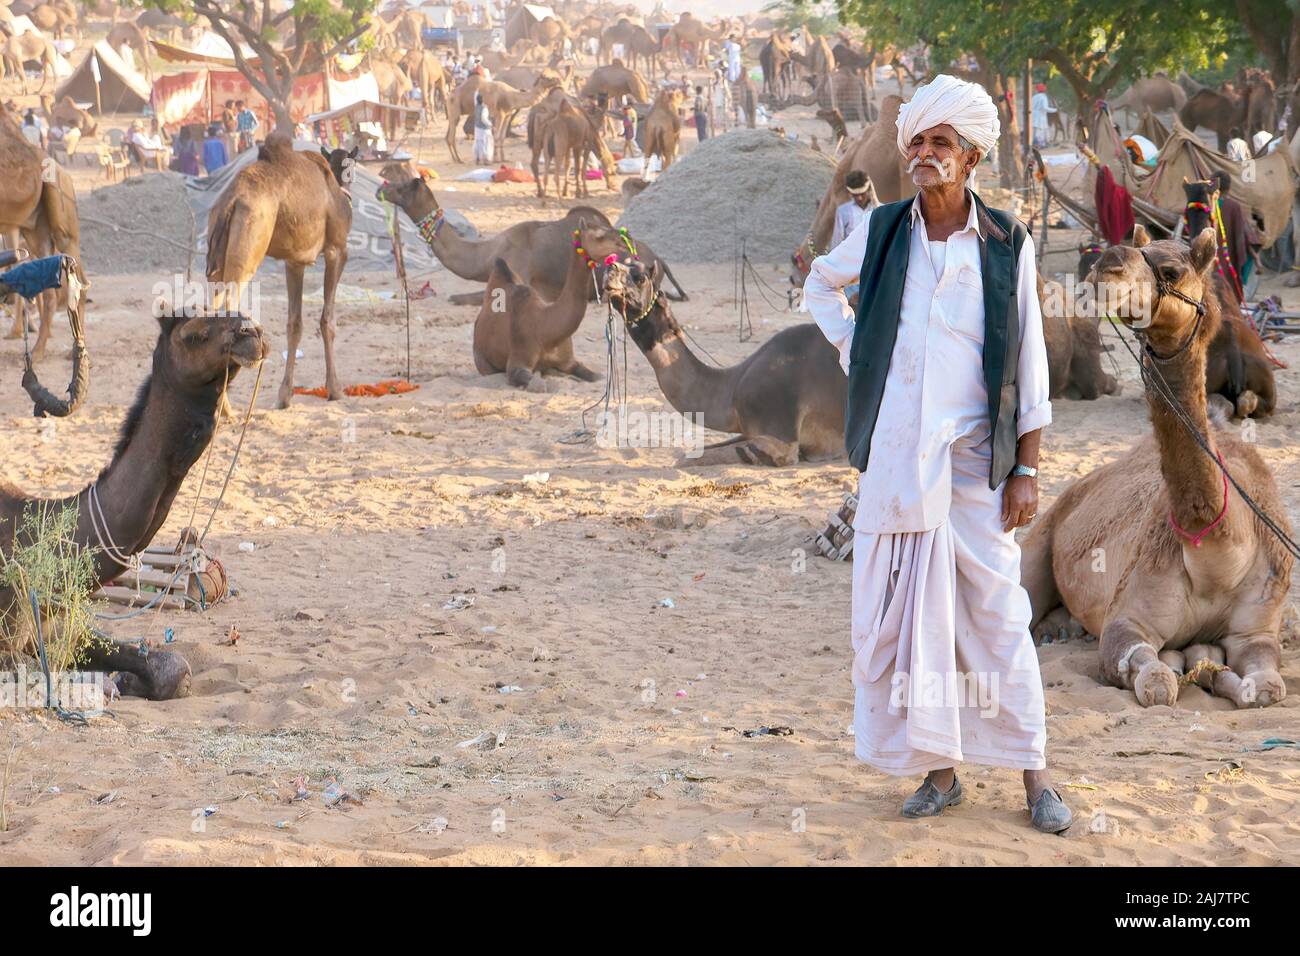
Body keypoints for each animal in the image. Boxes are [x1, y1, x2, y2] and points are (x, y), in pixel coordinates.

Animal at [204, 132, 356, 408]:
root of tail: (231, 201)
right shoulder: (337, 250)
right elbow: (327, 321)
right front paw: (335, 389)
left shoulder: (294, 262)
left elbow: (294, 324)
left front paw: (285, 395)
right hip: (249, 246)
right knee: (230, 305)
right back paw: (226, 407)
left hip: (216, 256)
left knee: (210, 305)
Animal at [475, 218, 600, 390]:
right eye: (600, 236)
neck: (545, 331)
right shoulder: (517, 361)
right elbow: (539, 385)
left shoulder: (569, 361)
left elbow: (597, 377)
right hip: (482, 360)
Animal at [595, 251, 842, 468]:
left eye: (640, 277)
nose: (609, 268)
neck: (732, 390)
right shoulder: (750, 430)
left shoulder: (780, 438)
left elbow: (686, 460)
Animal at [1024, 226, 1289, 712]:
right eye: (1137, 249)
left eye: (1171, 270)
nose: (1106, 264)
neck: (1217, 555)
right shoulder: (1127, 619)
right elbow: (1156, 682)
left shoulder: (1258, 628)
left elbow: (1264, 687)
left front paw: (1212, 669)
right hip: (1043, 531)